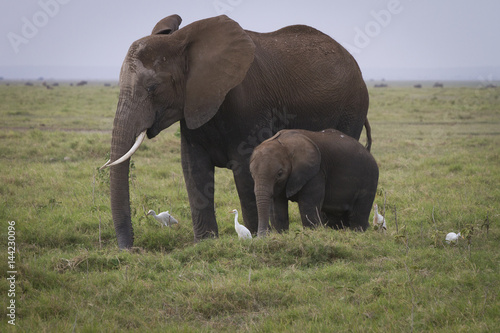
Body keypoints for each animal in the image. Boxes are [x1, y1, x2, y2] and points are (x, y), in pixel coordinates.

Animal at [250, 127, 378, 236]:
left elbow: (308, 207)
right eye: (251, 173)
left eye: (279, 173)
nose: (261, 236)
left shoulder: (316, 172)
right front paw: (280, 235)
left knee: (358, 217)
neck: (285, 143)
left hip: (369, 179)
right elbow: (278, 208)